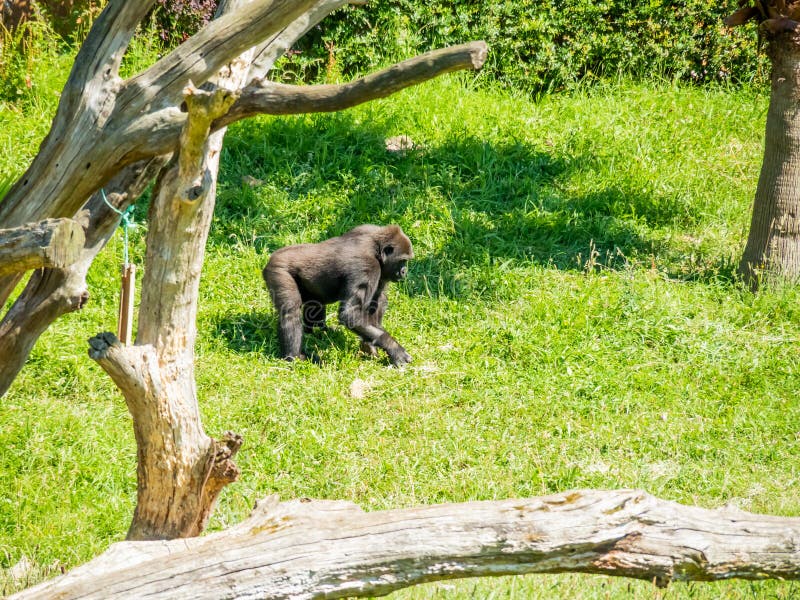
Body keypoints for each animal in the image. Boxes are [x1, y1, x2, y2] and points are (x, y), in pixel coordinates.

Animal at [263, 224, 414, 367]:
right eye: (402, 260)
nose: (404, 272)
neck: (376, 248)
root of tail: (270, 259)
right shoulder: (367, 266)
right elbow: (350, 314)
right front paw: (393, 347)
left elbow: (377, 300)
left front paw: (369, 345)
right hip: (278, 270)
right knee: (290, 311)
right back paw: (294, 357)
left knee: (315, 303)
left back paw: (319, 332)